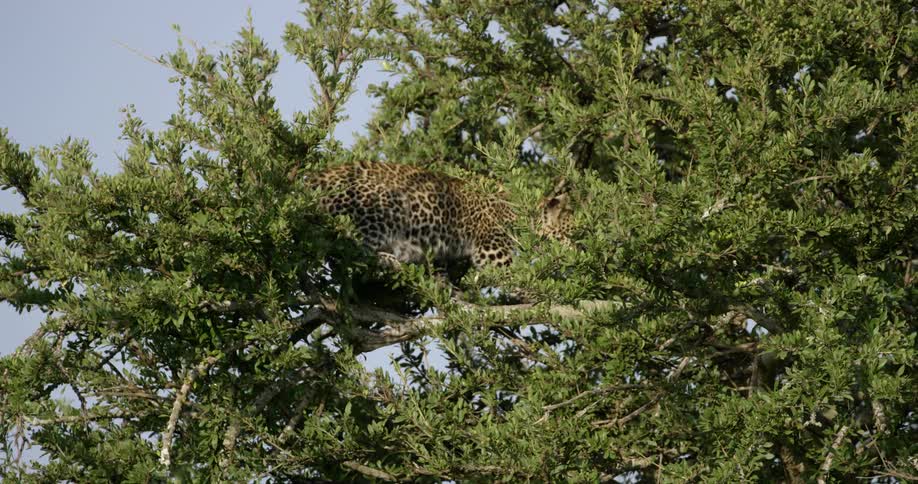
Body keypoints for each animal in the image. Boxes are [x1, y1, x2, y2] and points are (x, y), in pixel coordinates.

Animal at [309, 161, 571, 270]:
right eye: (571, 235)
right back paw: (389, 258)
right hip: (385, 201)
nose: (578, 253)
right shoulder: (492, 250)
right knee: (350, 247)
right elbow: (516, 273)